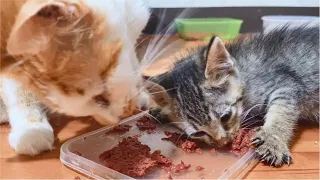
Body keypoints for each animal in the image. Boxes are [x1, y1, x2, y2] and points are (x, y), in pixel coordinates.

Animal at [147, 26, 318, 166]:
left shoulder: (287, 84)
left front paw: (272, 141)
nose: (223, 142)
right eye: (198, 133)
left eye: (225, 117)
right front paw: (159, 110)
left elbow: (281, 112)